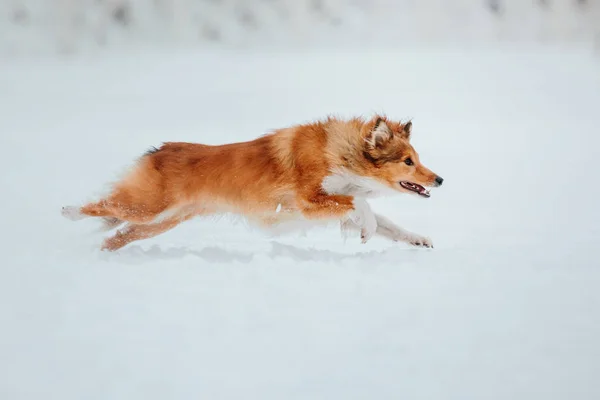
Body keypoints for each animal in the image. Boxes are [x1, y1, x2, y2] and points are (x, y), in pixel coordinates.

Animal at [62, 114, 446, 250]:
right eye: (408, 162)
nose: (440, 179)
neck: (342, 153)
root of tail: (160, 150)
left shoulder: (330, 205)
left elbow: (388, 223)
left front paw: (418, 239)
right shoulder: (308, 200)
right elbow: (362, 205)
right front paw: (367, 230)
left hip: (159, 221)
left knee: (113, 235)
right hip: (147, 208)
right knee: (99, 206)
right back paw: (67, 212)